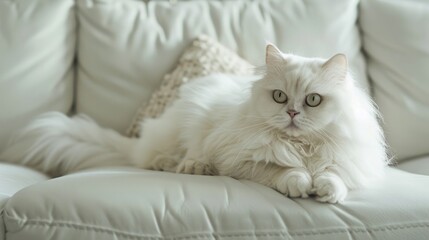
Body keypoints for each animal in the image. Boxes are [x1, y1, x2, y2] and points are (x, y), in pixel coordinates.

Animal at [0, 43, 388, 202]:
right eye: (280, 97)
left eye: (312, 100)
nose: (292, 113)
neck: (300, 146)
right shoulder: (242, 162)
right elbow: (281, 170)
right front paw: (299, 183)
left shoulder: (350, 160)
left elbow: (334, 174)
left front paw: (326, 191)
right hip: (184, 128)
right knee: (158, 157)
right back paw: (186, 166)